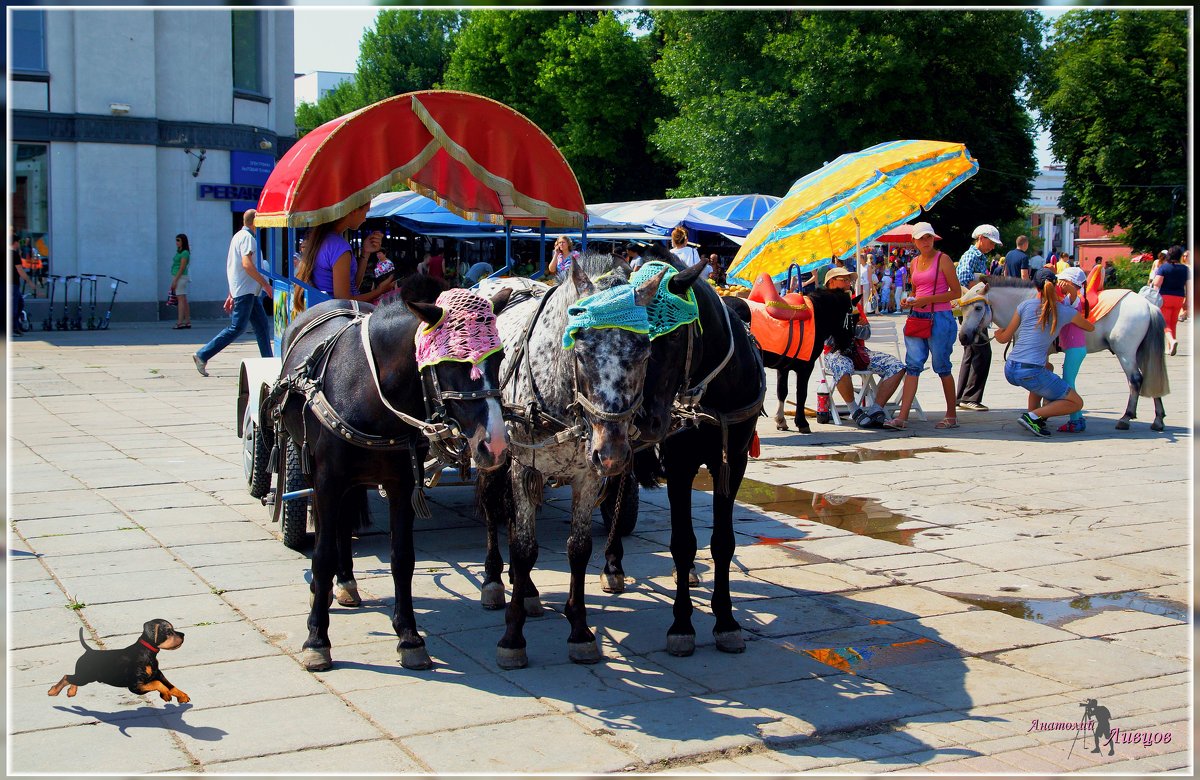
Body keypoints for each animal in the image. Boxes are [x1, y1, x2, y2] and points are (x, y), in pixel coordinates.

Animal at [265, 288, 508, 672]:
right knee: (327, 525)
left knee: (346, 519)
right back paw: (327, 587)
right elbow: (321, 555)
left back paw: (347, 581)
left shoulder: (402, 484)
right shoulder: (328, 480)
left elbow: (402, 558)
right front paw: (317, 639)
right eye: (451, 363)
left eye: (499, 359)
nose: (495, 445)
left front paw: (409, 637)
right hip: (310, 462)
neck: (366, 389)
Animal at [720, 288, 854, 432]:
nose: (849, 348)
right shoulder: (806, 367)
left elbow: (782, 391)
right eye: (853, 319)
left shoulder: (783, 368)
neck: (817, 316)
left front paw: (781, 420)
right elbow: (801, 393)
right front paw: (802, 422)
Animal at [955, 274, 1171, 432]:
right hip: (1140, 352)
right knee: (1150, 379)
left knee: (1135, 380)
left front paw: (1042, 414)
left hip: (1125, 353)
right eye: (962, 310)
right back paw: (1158, 419)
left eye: (978, 307)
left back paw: (1126, 418)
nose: (964, 337)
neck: (1026, 301)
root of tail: (1148, 305)